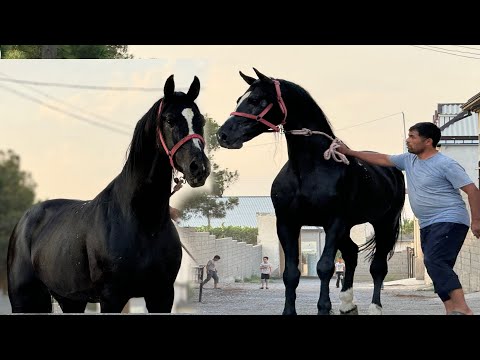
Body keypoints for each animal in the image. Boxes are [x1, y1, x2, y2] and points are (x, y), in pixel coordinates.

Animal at [7, 75, 210, 312]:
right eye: (169, 120)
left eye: (200, 121)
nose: (198, 168)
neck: (143, 221)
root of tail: (25, 219)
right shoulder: (111, 297)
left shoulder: (161, 295)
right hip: (24, 299)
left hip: (70, 299)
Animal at [218, 68, 404, 316]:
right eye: (239, 99)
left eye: (257, 100)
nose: (223, 135)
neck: (308, 170)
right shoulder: (287, 223)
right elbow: (291, 273)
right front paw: (289, 311)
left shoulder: (333, 222)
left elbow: (324, 267)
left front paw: (324, 308)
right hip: (348, 227)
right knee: (352, 254)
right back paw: (347, 303)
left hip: (384, 223)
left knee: (378, 267)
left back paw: (374, 307)